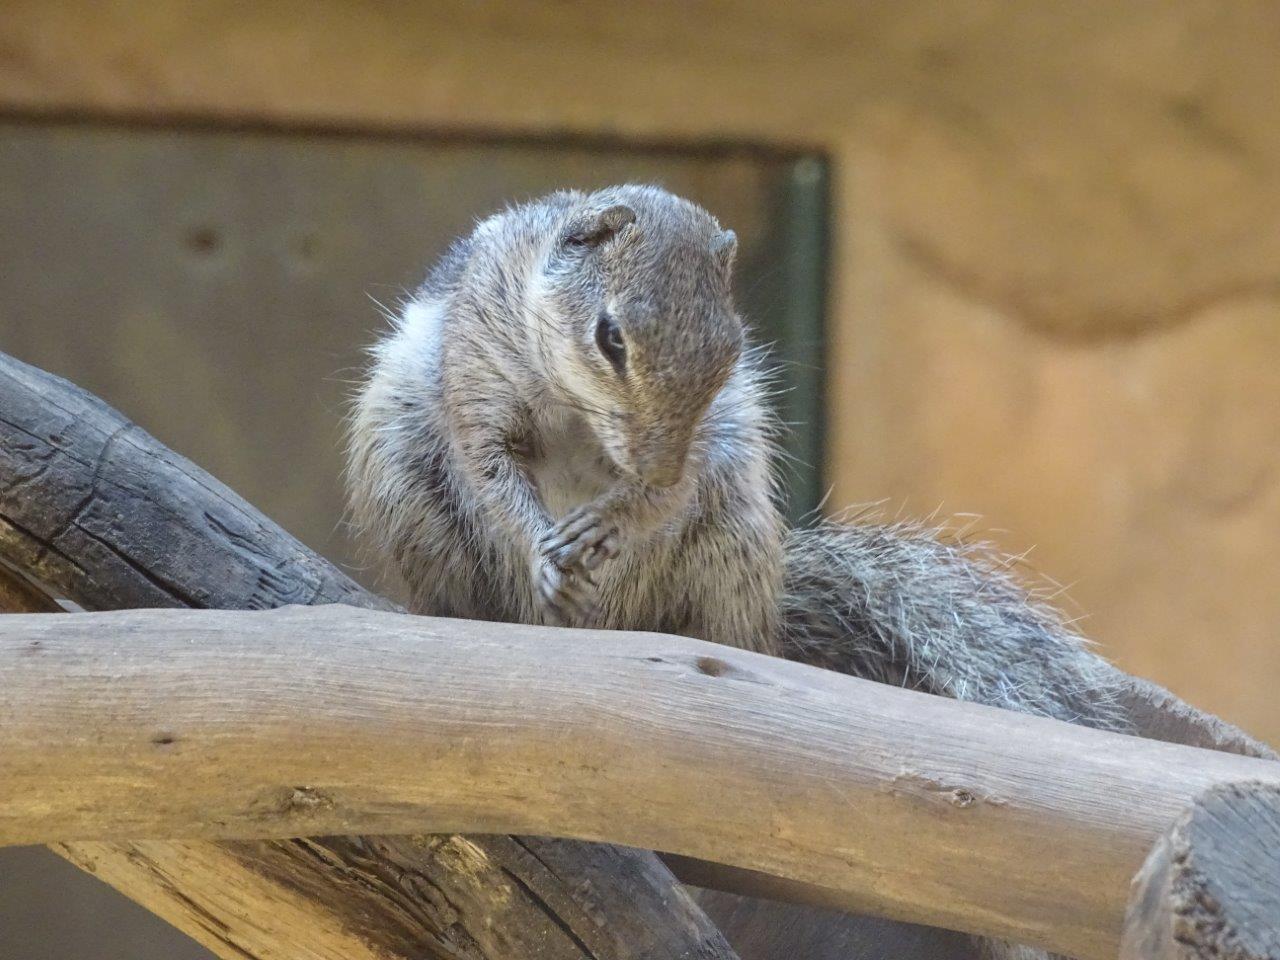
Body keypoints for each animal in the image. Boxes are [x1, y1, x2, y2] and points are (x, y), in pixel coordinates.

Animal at [346, 184, 1127, 960]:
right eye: (610, 337)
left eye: (732, 349)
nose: (655, 466)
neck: (577, 414)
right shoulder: (478, 371)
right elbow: (490, 469)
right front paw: (544, 548)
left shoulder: (705, 440)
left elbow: (666, 498)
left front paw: (621, 520)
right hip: (408, 482)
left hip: (732, 537)